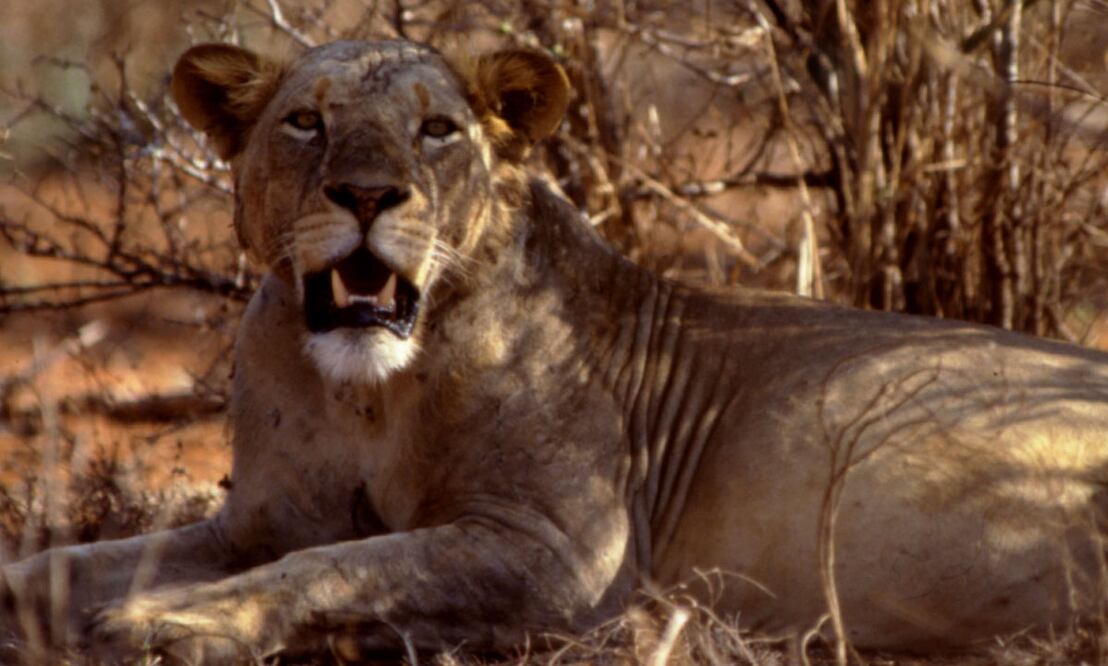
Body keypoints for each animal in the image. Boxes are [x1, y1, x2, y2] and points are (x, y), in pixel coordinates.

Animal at [3, 38, 1108, 663]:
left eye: (438, 131)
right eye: (306, 122)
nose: (366, 195)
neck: (366, 396)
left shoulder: (562, 554)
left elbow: (343, 564)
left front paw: (178, 625)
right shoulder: (252, 522)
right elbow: (71, 563)